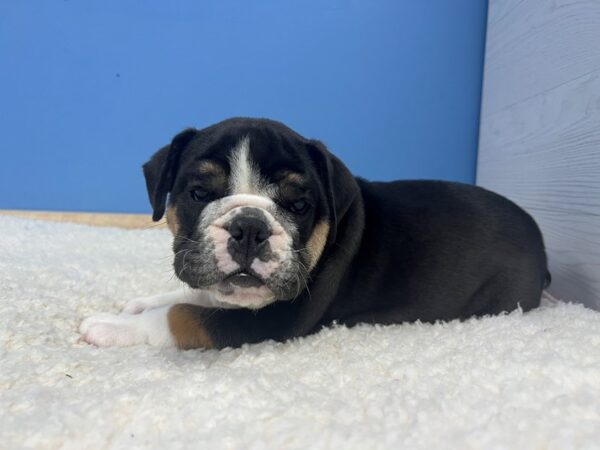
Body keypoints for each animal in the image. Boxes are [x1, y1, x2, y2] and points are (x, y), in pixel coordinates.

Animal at [81, 118, 552, 350]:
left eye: (298, 206)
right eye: (199, 193)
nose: (249, 226)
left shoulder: (278, 319)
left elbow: (183, 315)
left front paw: (113, 326)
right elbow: (194, 293)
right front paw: (140, 303)